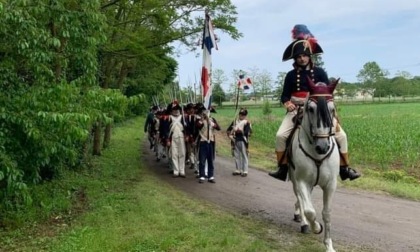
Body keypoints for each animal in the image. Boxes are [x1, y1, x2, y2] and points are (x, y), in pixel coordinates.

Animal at [288, 78, 342, 251]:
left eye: (332, 109)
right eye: (310, 109)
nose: (322, 147)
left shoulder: (330, 184)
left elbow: (327, 213)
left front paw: (329, 246)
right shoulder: (302, 181)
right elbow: (310, 210)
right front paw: (316, 227)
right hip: (295, 179)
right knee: (301, 199)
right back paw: (304, 223)